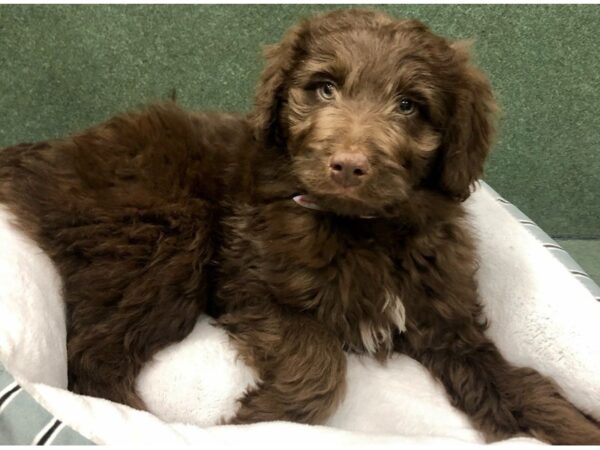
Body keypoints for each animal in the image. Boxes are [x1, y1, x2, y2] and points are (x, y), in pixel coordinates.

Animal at [1, 8, 600, 444]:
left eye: (410, 105)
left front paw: (569, 424)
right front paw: (255, 419)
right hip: (164, 237)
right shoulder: (252, 286)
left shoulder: (445, 316)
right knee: (93, 360)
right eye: (325, 88)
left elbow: (509, 377)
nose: (349, 165)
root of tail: (51, 152)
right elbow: (319, 358)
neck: (361, 228)